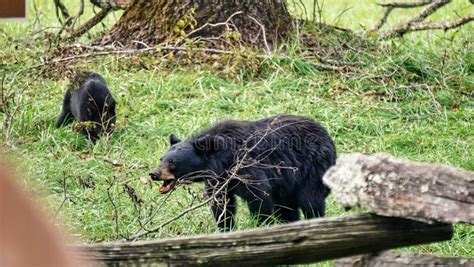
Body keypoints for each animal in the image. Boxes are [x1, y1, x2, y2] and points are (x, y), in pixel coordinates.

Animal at [150, 114, 336, 230]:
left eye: (173, 162)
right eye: (161, 158)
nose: (154, 174)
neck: (223, 161)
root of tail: (327, 136)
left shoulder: (246, 167)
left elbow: (259, 196)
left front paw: (260, 225)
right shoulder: (219, 180)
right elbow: (222, 204)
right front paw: (225, 228)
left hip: (312, 170)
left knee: (310, 200)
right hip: (287, 185)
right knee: (286, 207)